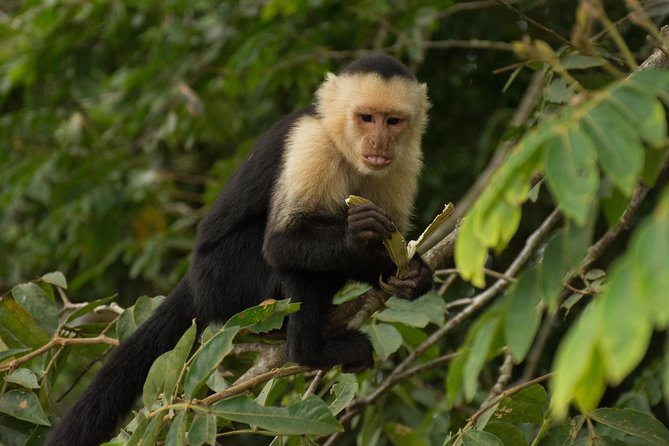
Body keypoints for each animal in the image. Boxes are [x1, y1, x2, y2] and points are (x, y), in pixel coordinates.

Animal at [47, 54, 434, 444]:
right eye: (366, 117)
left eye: (393, 121)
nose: (379, 141)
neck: (346, 149)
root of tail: (195, 282)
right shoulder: (311, 143)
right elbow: (281, 243)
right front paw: (357, 233)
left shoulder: (405, 164)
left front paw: (413, 276)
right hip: (225, 279)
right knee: (289, 259)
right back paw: (308, 352)